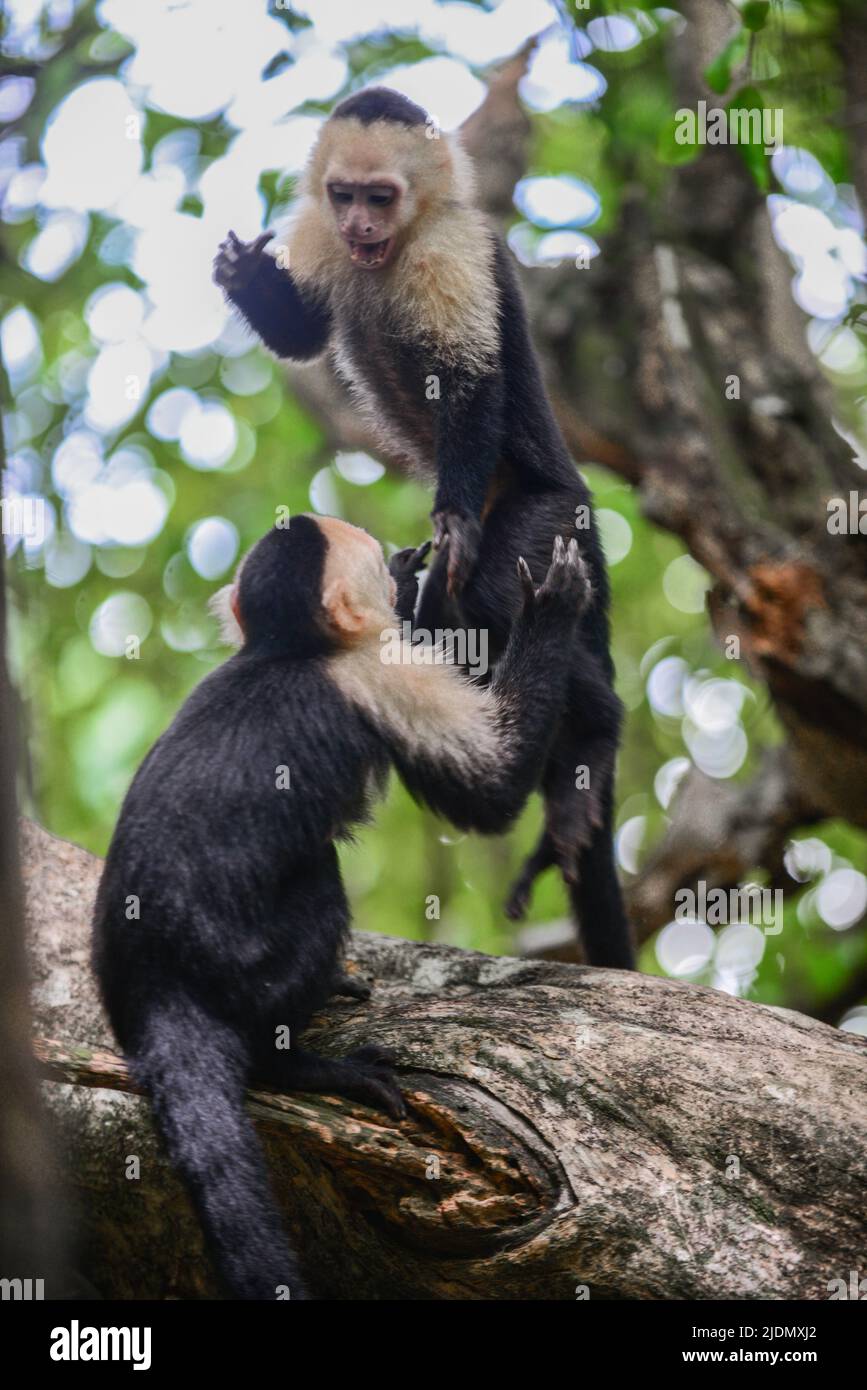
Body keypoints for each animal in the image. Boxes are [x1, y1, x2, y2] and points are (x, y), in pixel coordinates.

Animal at [93, 514, 589, 1301]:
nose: (395, 566)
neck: (289, 648)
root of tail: (156, 990)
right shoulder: (379, 675)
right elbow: (490, 787)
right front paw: (550, 605)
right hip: (245, 969)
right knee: (318, 881)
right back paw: (297, 1068)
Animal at [215, 84, 636, 967]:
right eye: (344, 195)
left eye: (383, 197)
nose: (360, 228)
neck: (396, 247)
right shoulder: (318, 234)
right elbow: (304, 336)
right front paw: (243, 274)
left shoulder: (453, 250)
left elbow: (469, 379)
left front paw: (451, 516)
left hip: (549, 513)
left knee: (489, 596)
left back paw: (593, 736)